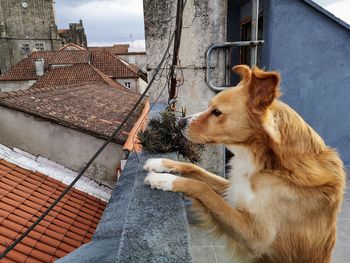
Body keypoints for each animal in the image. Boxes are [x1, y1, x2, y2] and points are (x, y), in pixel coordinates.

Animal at [142, 65, 344, 262]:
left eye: (217, 112)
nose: (180, 122)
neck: (271, 164)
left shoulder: (256, 236)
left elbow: (202, 188)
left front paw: (163, 180)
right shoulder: (233, 187)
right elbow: (196, 169)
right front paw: (160, 163)